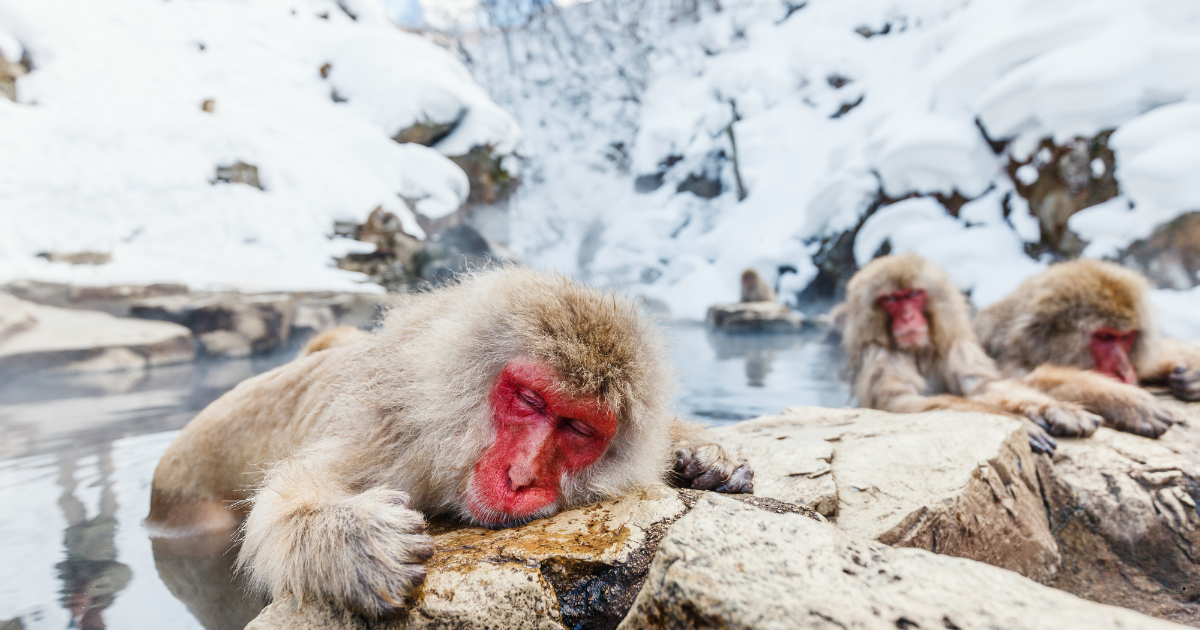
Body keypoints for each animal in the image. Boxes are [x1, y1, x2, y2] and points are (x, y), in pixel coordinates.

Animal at [146, 266, 753, 617]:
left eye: (578, 428)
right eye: (530, 401)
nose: (522, 475)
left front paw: (707, 457)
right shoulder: (392, 437)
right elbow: (284, 502)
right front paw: (352, 540)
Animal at [833, 253, 1103, 454]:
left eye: (914, 294)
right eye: (890, 299)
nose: (908, 317)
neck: (918, 350)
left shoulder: (957, 345)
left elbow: (982, 387)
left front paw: (1053, 408)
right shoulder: (881, 356)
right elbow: (900, 402)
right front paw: (1018, 421)